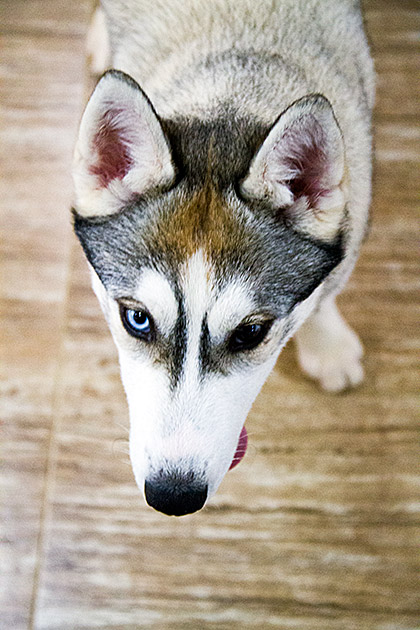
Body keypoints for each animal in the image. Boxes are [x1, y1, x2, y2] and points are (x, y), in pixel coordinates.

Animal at [71, 0, 374, 520]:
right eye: (136, 319)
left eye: (251, 332)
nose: (173, 496)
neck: (233, 90)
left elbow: (328, 290)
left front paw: (325, 339)